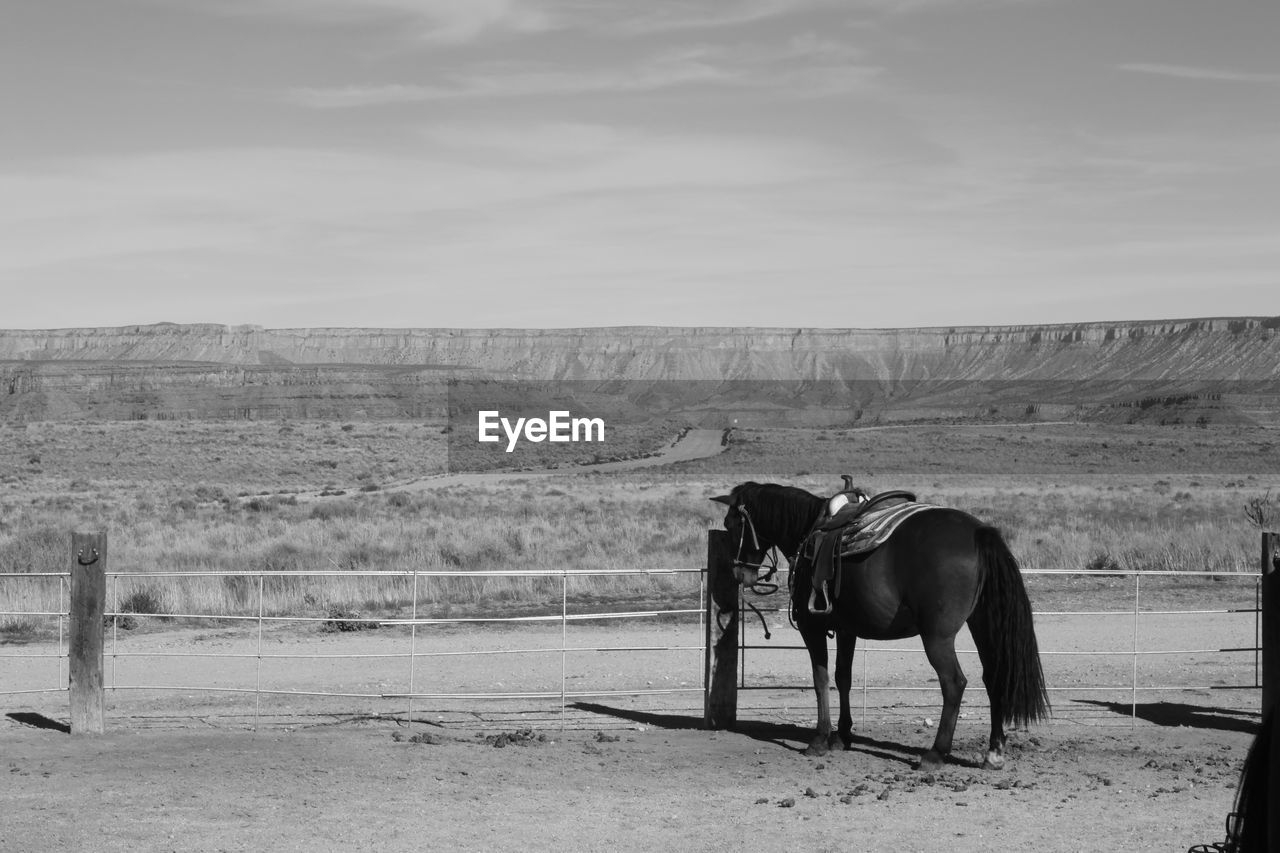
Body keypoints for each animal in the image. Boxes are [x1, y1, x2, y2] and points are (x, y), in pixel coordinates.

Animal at [711, 481, 1049, 768]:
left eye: (731, 524)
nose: (741, 574)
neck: (808, 532)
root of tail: (979, 531)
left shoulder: (812, 628)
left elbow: (820, 679)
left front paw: (820, 739)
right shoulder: (847, 629)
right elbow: (843, 677)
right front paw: (842, 736)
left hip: (937, 637)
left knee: (954, 683)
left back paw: (935, 755)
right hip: (981, 624)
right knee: (995, 677)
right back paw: (994, 752)